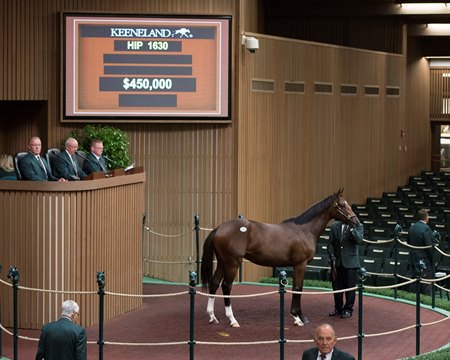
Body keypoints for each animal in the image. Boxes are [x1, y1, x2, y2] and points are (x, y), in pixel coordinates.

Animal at [200, 190, 358, 328]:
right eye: (342, 204)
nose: (356, 222)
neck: (304, 229)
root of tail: (219, 228)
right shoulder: (300, 264)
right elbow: (297, 288)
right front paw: (297, 317)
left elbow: (298, 288)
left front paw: (300, 316)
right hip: (232, 263)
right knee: (226, 286)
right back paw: (232, 320)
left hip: (223, 263)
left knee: (214, 283)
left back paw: (212, 317)